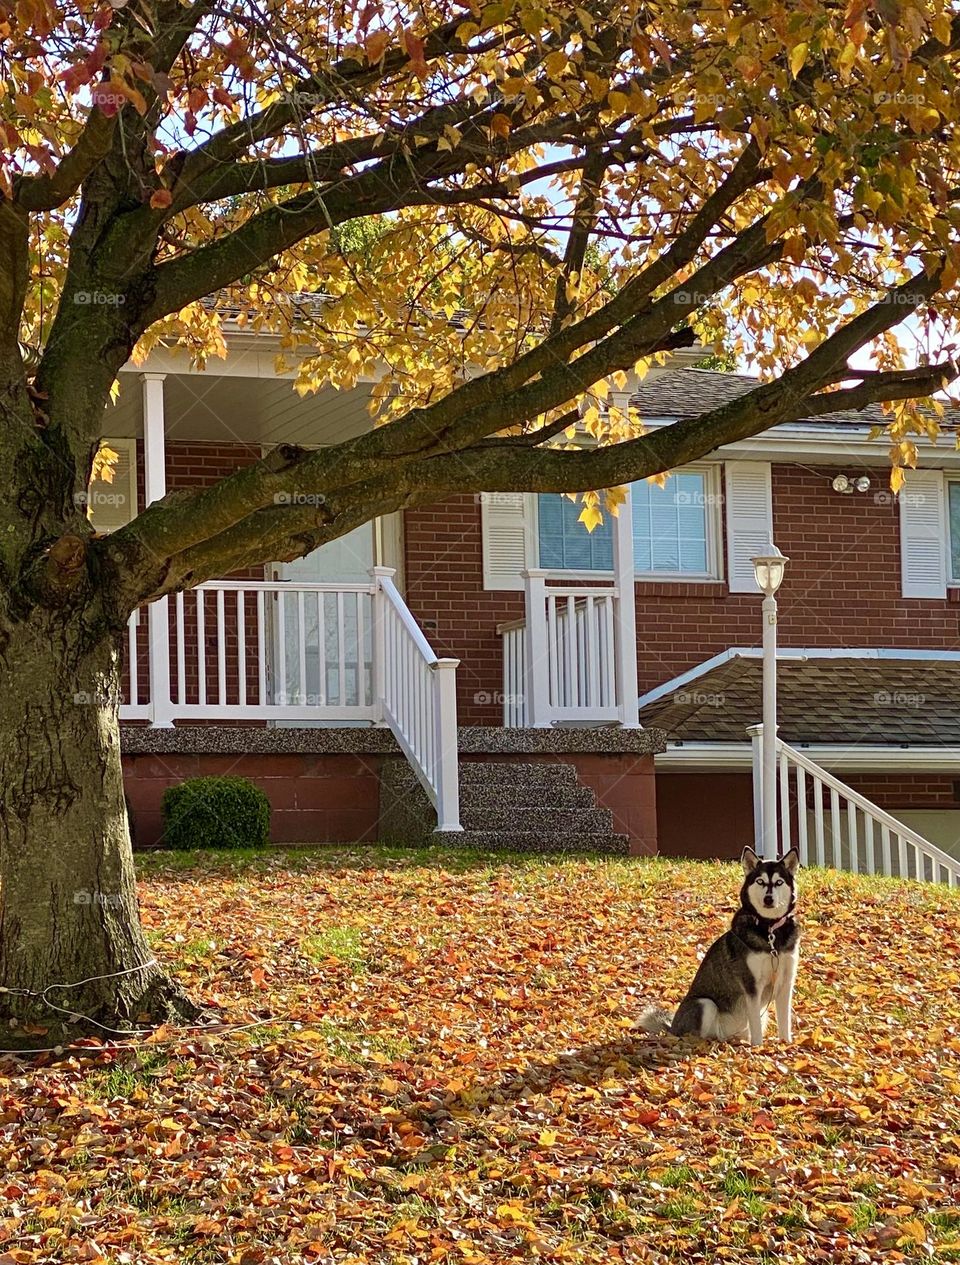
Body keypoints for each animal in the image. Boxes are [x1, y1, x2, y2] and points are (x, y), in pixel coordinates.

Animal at [637, 845, 804, 1042]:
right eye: (760, 881)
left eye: (778, 882)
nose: (768, 899)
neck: (770, 931)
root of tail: (672, 1028)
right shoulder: (751, 986)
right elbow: (755, 1025)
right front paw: (758, 1046)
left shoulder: (786, 982)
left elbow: (785, 1022)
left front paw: (786, 1044)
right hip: (704, 1004)